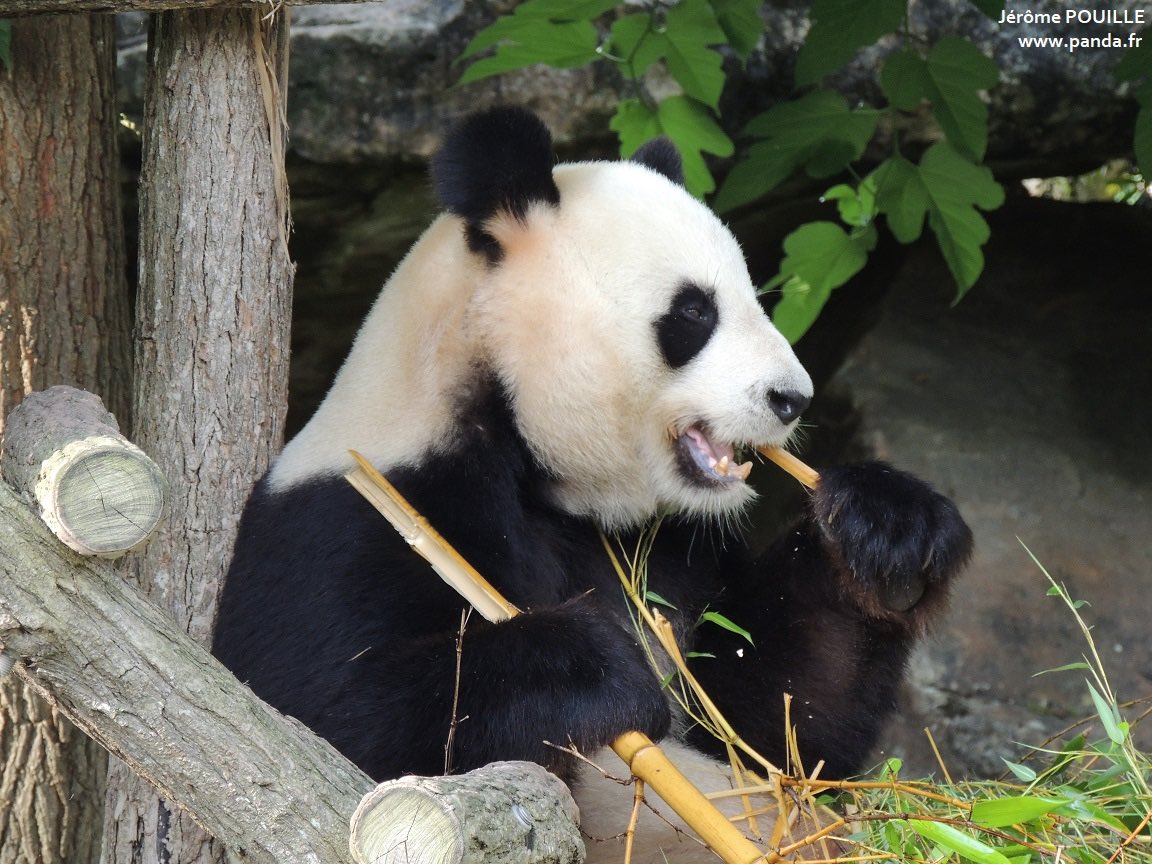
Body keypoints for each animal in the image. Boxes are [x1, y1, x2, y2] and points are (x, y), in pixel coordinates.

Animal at [213, 106, 971, 861]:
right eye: (694, 312)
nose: (792, 398)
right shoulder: (356, 516)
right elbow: (322, 716)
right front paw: (599, 668)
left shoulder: (674, 547)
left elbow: (768, 730)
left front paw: (891, 537)